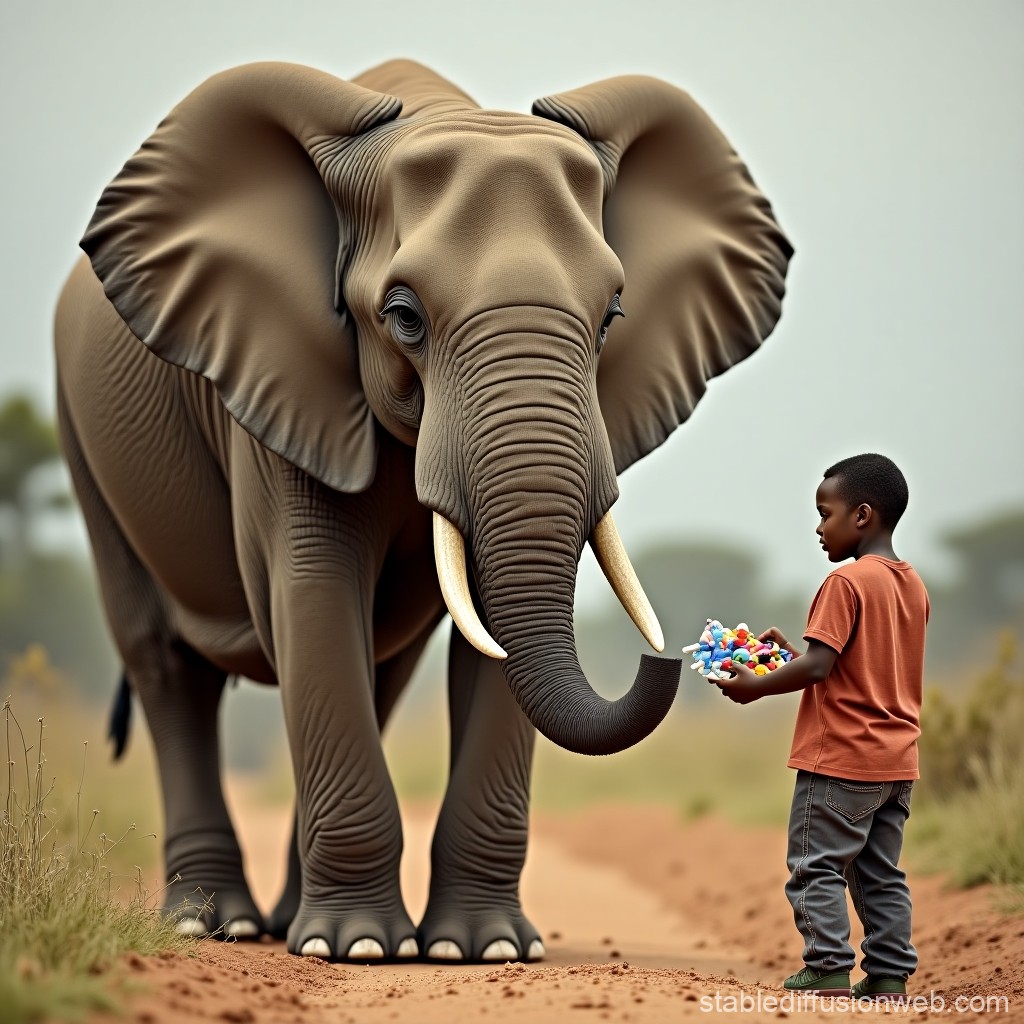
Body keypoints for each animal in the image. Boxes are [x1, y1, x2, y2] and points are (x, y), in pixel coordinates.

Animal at [54, 59, 792, 964]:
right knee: (165, 663)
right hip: (83, 441)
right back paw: (219, 924)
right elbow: (313, 592)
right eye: (402, 316)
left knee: (379, 665)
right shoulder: (281, 388)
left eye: (613, 313)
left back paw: (287, 922)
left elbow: (484, 639)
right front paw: (359, 950)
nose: (676, 654)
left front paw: (482, 950)